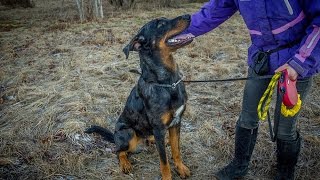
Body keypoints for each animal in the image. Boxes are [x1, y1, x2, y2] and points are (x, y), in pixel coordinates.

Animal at [85, 14, 194, 180]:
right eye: (160, 24)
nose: (189, 15)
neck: (167, 83)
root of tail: (115, 136)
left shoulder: (176, 123)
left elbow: (176, 150)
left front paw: (180, 167)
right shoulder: (159, 128)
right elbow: (164, 161)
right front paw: (168, 176)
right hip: (128, 134)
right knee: (119, 151)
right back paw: (125, 164)